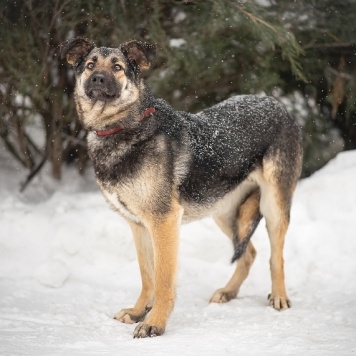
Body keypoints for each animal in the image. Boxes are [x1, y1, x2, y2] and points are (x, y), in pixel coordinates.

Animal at [60, 37, 304, 338]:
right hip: (223, 211)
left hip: (273, 206)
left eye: (117, 67)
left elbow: (163, 279)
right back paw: (228, 292)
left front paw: (154, 322)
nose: (97, 78)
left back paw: (279, 296)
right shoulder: (139, 226)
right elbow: (147, 275)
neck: (122, 128)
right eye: (90, 65)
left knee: (275, 257)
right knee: (249, 253)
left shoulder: (163, 221)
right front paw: (139, 310)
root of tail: (279, 105)